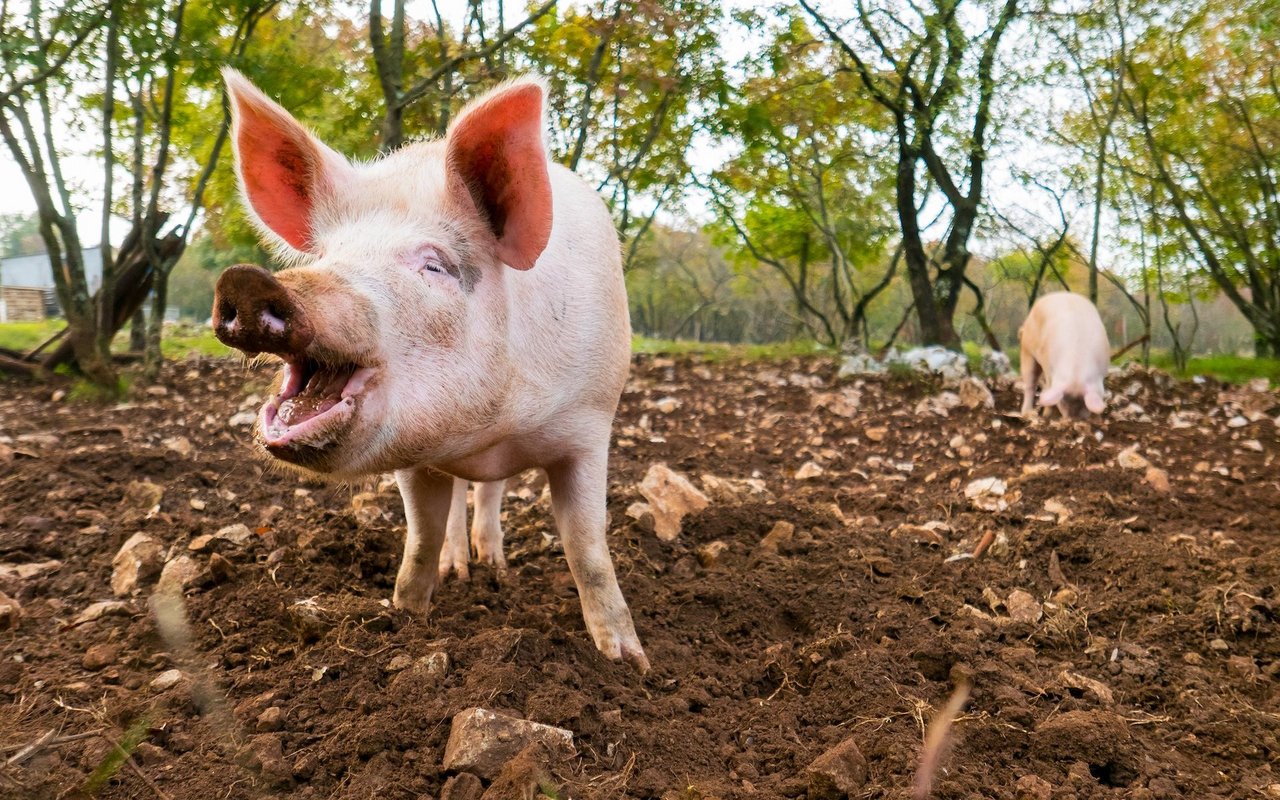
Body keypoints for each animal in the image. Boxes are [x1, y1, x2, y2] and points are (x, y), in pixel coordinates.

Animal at [215, 68, 650, 670]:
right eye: (326, 256)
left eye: (434, 265)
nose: (246, 281)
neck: (489, 431)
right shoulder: (414, 459)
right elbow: (420, 538)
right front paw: (406, 618)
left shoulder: (589, 424)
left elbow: (587, 547)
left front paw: (630, 664)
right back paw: (461, 568)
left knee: (491, 494)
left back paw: (494, 566)